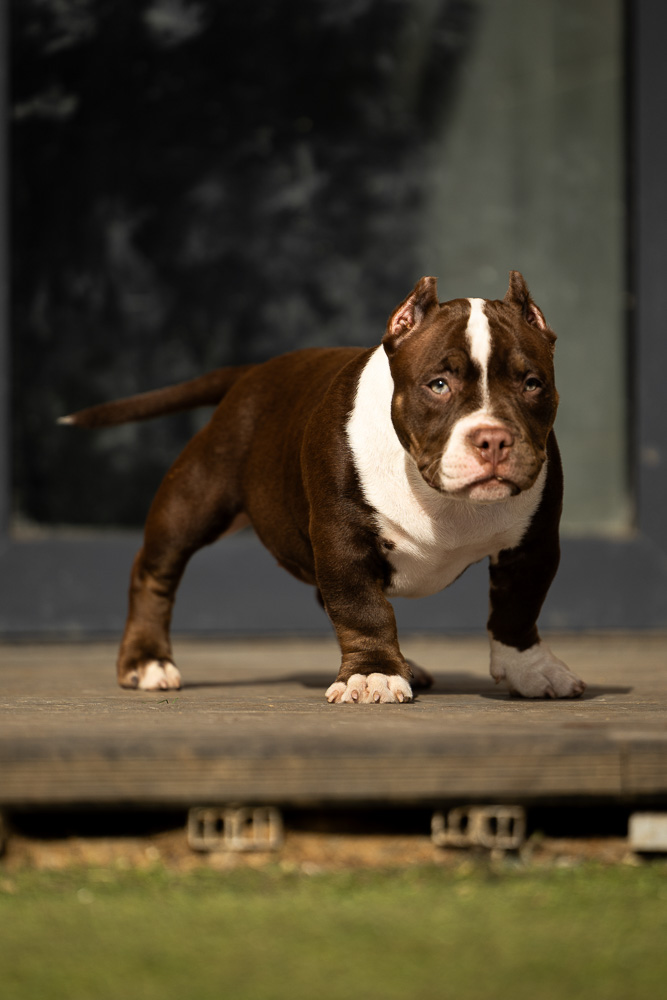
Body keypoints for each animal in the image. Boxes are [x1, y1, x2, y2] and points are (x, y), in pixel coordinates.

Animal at [61, 272, 585, 702]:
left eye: (532, 384)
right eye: (438, 384)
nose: (493, 438)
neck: (435, 492)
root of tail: (252, 372)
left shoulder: (534, 544)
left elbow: (518, 609)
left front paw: (530, 670)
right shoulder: (342, 538)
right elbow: (362, 607)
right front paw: (373, 674)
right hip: (192, 501)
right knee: (154, 572)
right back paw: (147, 661)